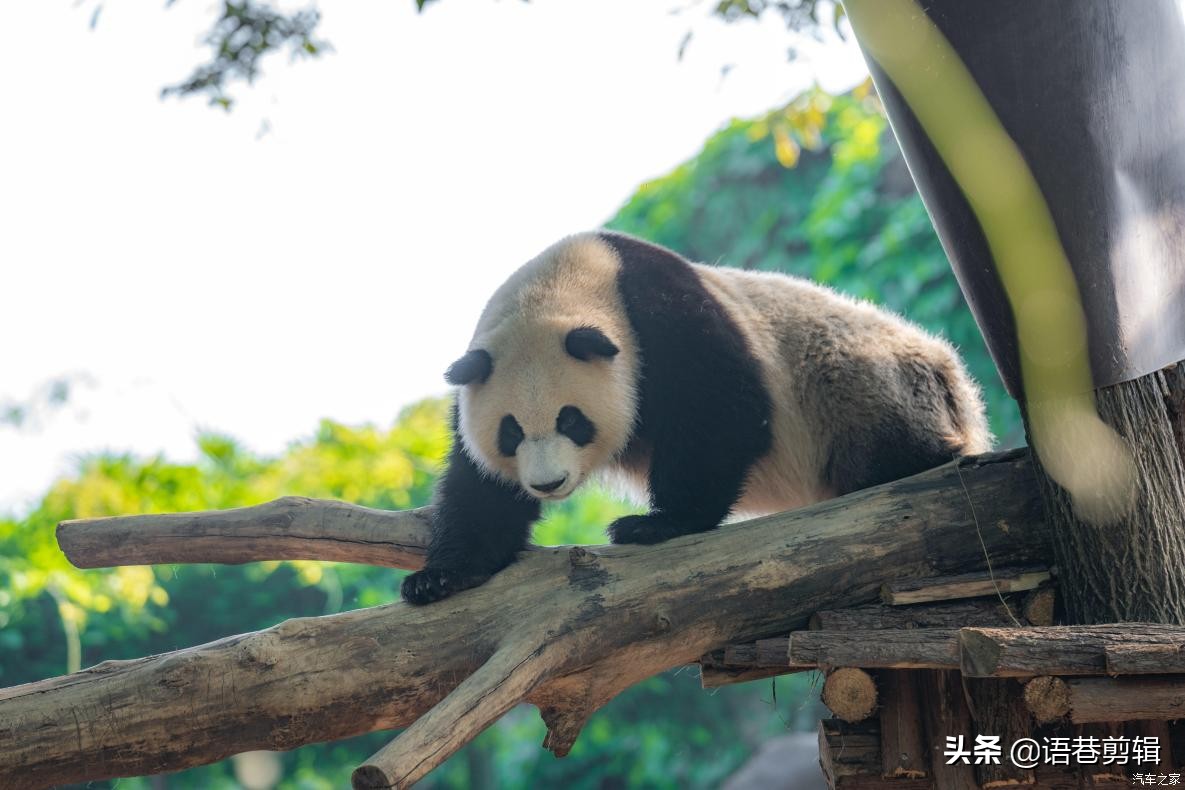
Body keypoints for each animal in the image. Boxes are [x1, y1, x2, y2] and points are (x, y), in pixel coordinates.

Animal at [402, 229, 995, 606]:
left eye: (572, 420)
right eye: (511, 431)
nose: (549, 483)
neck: (573, 279)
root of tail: (958, 387)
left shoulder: (660, 314)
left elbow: (724, 411)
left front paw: (655, 524)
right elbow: (480, 490)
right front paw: (440, 577)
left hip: (862, 385)